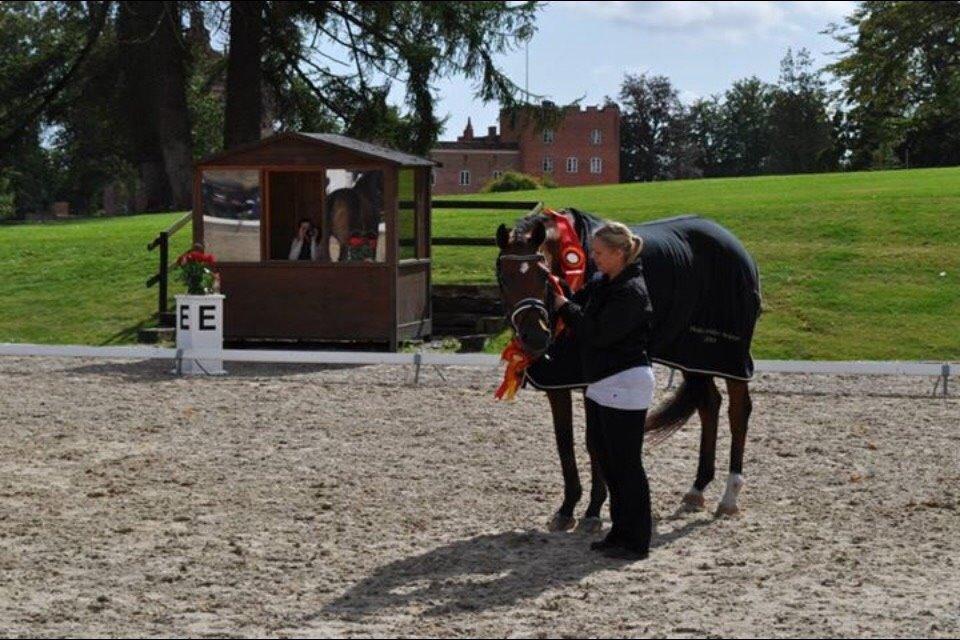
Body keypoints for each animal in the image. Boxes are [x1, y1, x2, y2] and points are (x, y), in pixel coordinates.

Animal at [498, 209, 760, 528]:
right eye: (505, 277)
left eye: (544, 275)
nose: (535, 337)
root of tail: (736, 246)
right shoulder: (558, 382)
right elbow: (565, 443)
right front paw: (567, 508)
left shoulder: (591, 381)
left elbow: (593, 441)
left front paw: (593, 510)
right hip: (694, 357)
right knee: (709, 404)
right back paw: (696, 490)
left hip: (729, 357)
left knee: (738, 411)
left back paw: (729, 496)